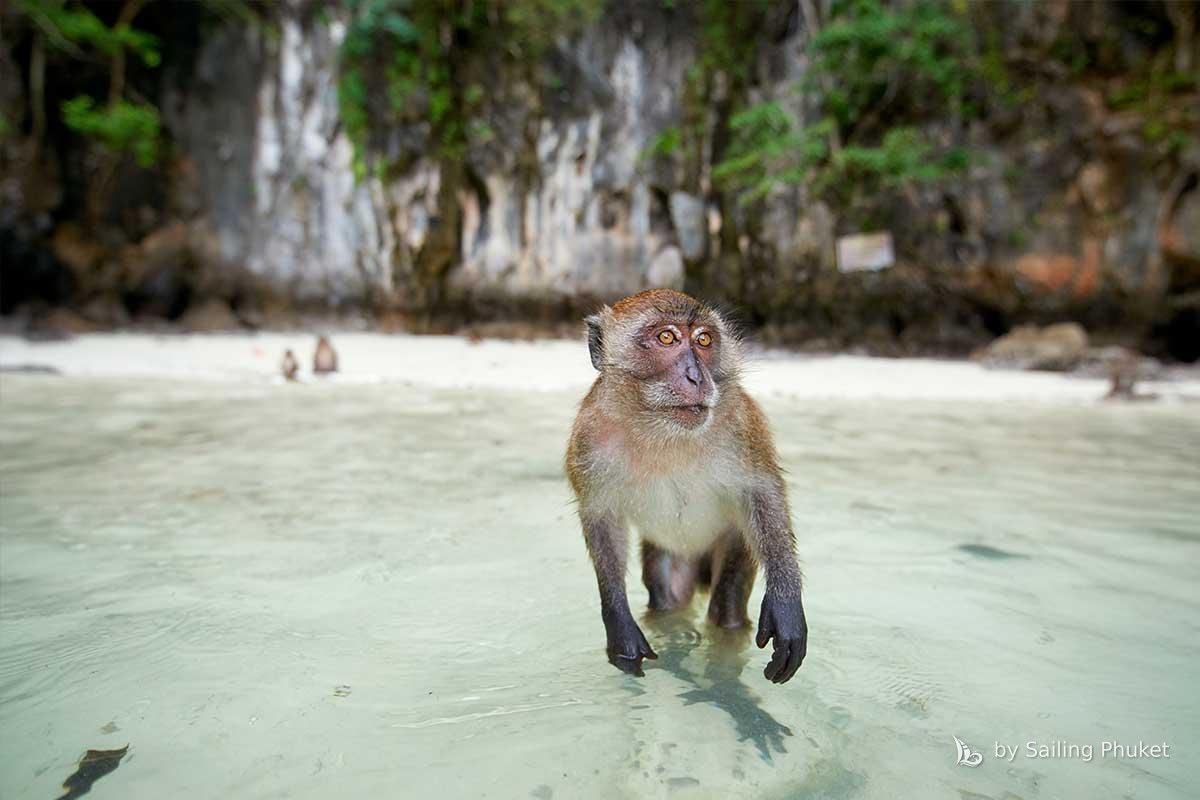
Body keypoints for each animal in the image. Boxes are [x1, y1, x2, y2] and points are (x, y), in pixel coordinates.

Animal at [565, 289, 807, 684]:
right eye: (667, 337)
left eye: (704, 340)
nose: (696, 376)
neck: (661, 429)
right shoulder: (589, 437)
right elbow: (600, 517)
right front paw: (619, 623)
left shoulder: (740, 421)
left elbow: (762, 490)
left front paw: (785, 605)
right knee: (669, 594)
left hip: (733, 544)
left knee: (726, 608)